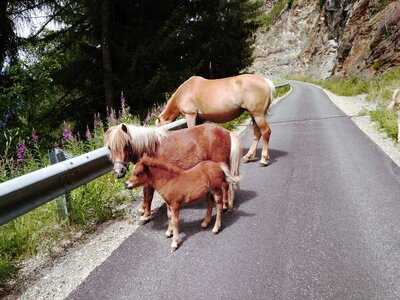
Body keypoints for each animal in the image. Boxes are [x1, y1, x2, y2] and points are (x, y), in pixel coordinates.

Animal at [104, 122, 241, 220]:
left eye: (126, 145)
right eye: (109, 147)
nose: (119, 171)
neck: (149, 148)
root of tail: (226, 131)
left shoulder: (149, 180)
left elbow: (147, 196)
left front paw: (146, 215)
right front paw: (143, 210)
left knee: (225, 185)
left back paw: (224, 206)